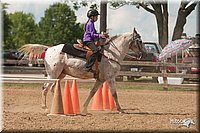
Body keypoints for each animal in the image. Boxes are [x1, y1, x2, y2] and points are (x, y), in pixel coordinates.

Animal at [18, 27, 147, 114]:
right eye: (140, 41)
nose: (144, 54)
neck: (111, 54)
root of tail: (49, 48)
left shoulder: (100, 80)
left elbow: (92, 92)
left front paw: (84, 109)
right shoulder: (110, 78)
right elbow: (114, 94)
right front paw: (120, 110)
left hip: (60, 75)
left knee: (52, 89)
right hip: (52, 74)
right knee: (45, 88)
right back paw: (45, 108)